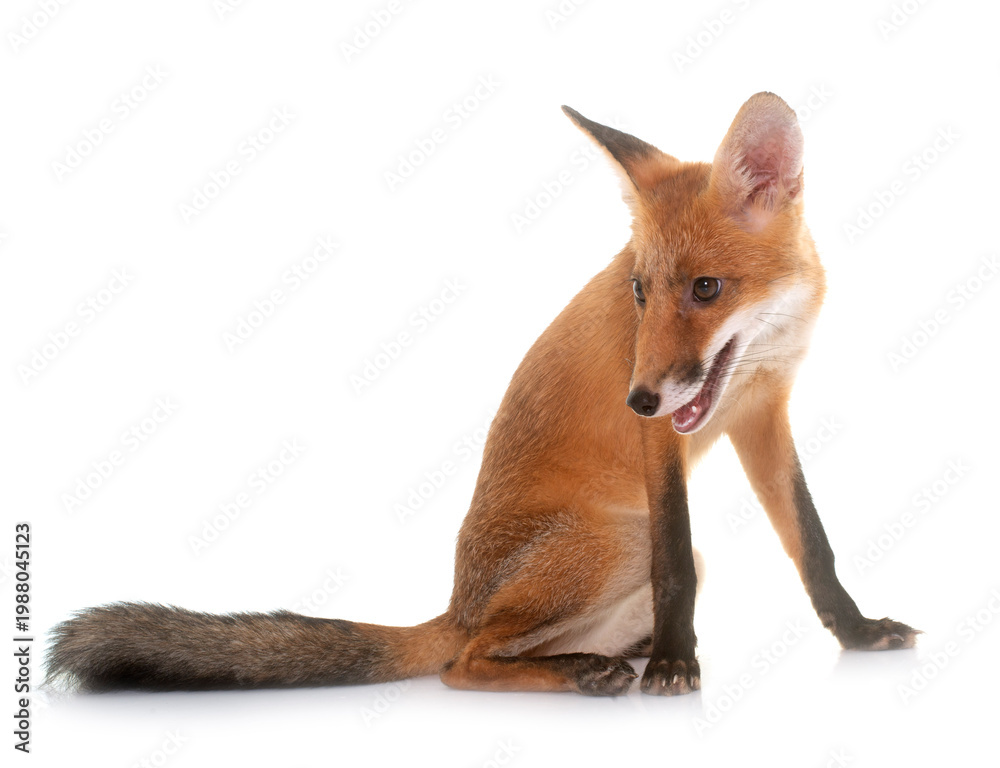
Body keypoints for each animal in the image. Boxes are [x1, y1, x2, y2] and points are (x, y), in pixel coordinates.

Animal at [47, 92, 918, 697]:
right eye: (640, 291)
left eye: (706, 289)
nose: (637, 399)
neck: (757, 357)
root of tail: (456, 603)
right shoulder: (665, 448)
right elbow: (676, 558)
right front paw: (680, 662)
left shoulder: (764, 412)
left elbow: (812, 543)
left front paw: (855, 632)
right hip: (612, 541)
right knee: (463, 662)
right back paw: (588, 670)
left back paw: (608, 655)